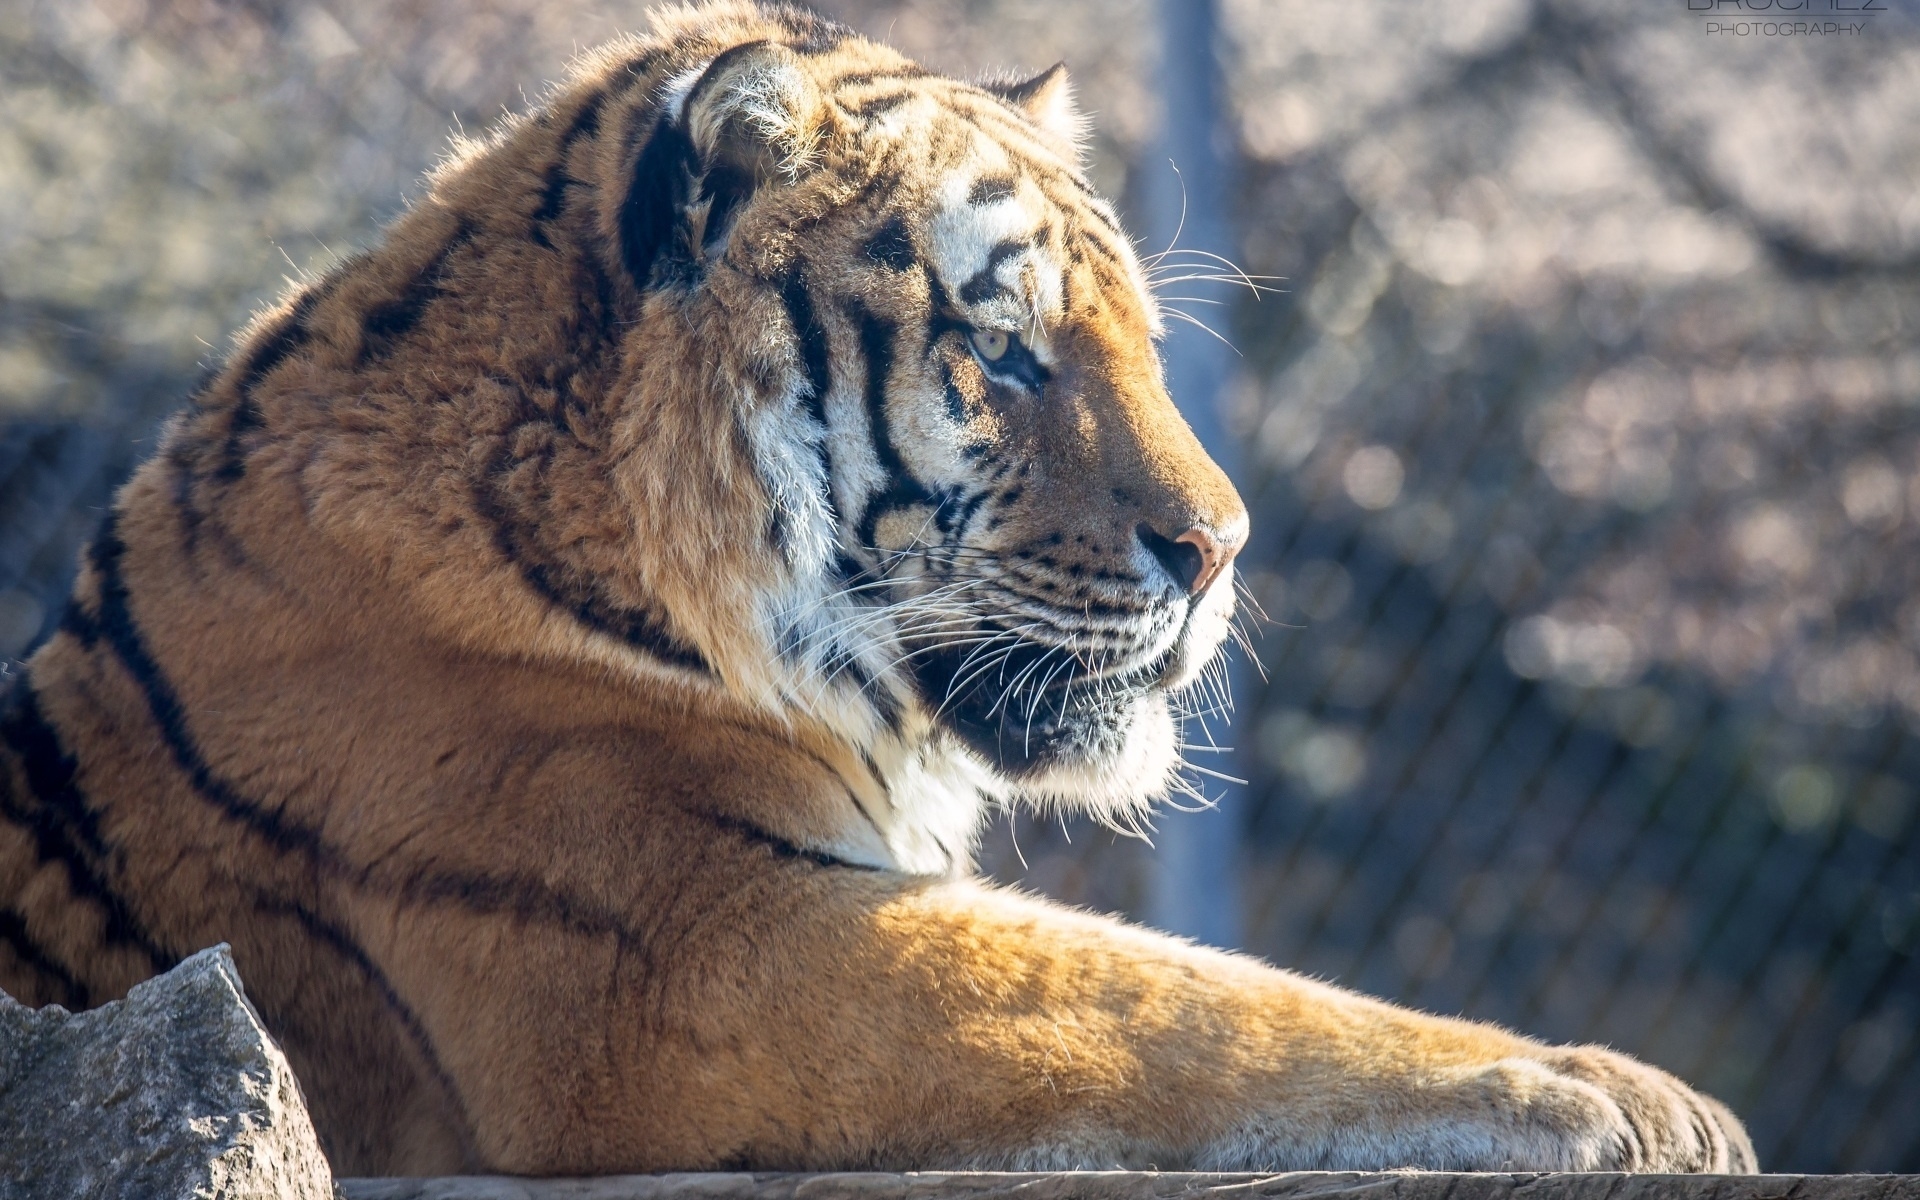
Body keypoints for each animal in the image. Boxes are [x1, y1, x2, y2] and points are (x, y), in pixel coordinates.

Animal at [0, 0, 1758, 1175]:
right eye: (1005, 348)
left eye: (1136, 336)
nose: (1225, 550)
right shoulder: (690, 950)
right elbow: (1190, 1004)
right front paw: (1609, 1094)